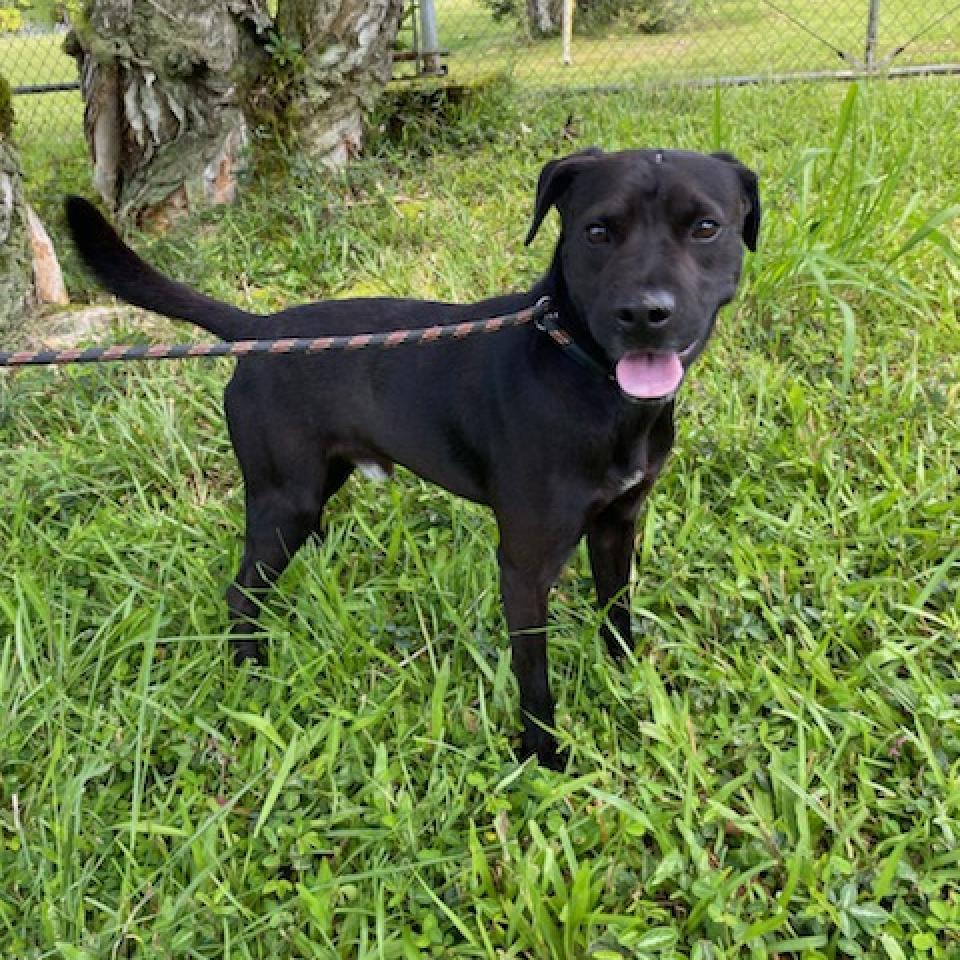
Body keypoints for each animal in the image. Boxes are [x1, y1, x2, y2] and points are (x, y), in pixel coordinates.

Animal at [65, 148, 756, 764]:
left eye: (705, 227)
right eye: (597, 231)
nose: (644, 312)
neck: (584, 375)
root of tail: (259, 332)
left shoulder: (617, 524)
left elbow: (617, 615)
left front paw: (629, 682)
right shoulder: (524, 565)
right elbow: (534, 677)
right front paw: (544, 757)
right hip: (286, 499)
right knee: (240, 595)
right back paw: (251, 675)